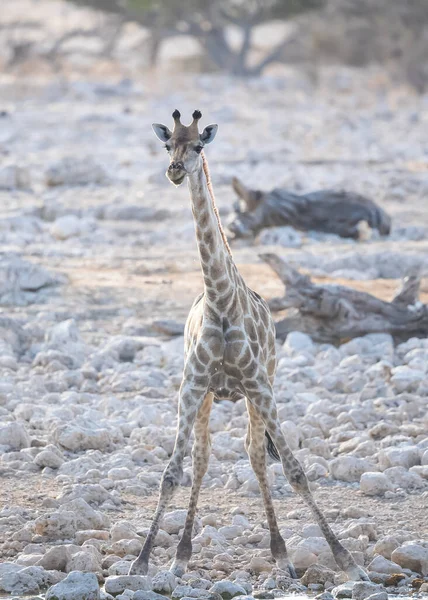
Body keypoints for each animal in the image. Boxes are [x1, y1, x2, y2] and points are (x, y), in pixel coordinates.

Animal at [127, 109, 368, 580]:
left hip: (261, 390)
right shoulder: (191, 386)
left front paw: (348, 562)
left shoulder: (259, 385)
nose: (175, 170)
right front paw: (143, 562)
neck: (221, 302)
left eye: (198, 146)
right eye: (167, 146)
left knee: (257, 455)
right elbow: (172, 473)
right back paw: (183, 555)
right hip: (210, 397)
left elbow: (295, 470)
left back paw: (283, 555)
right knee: (203, 459)